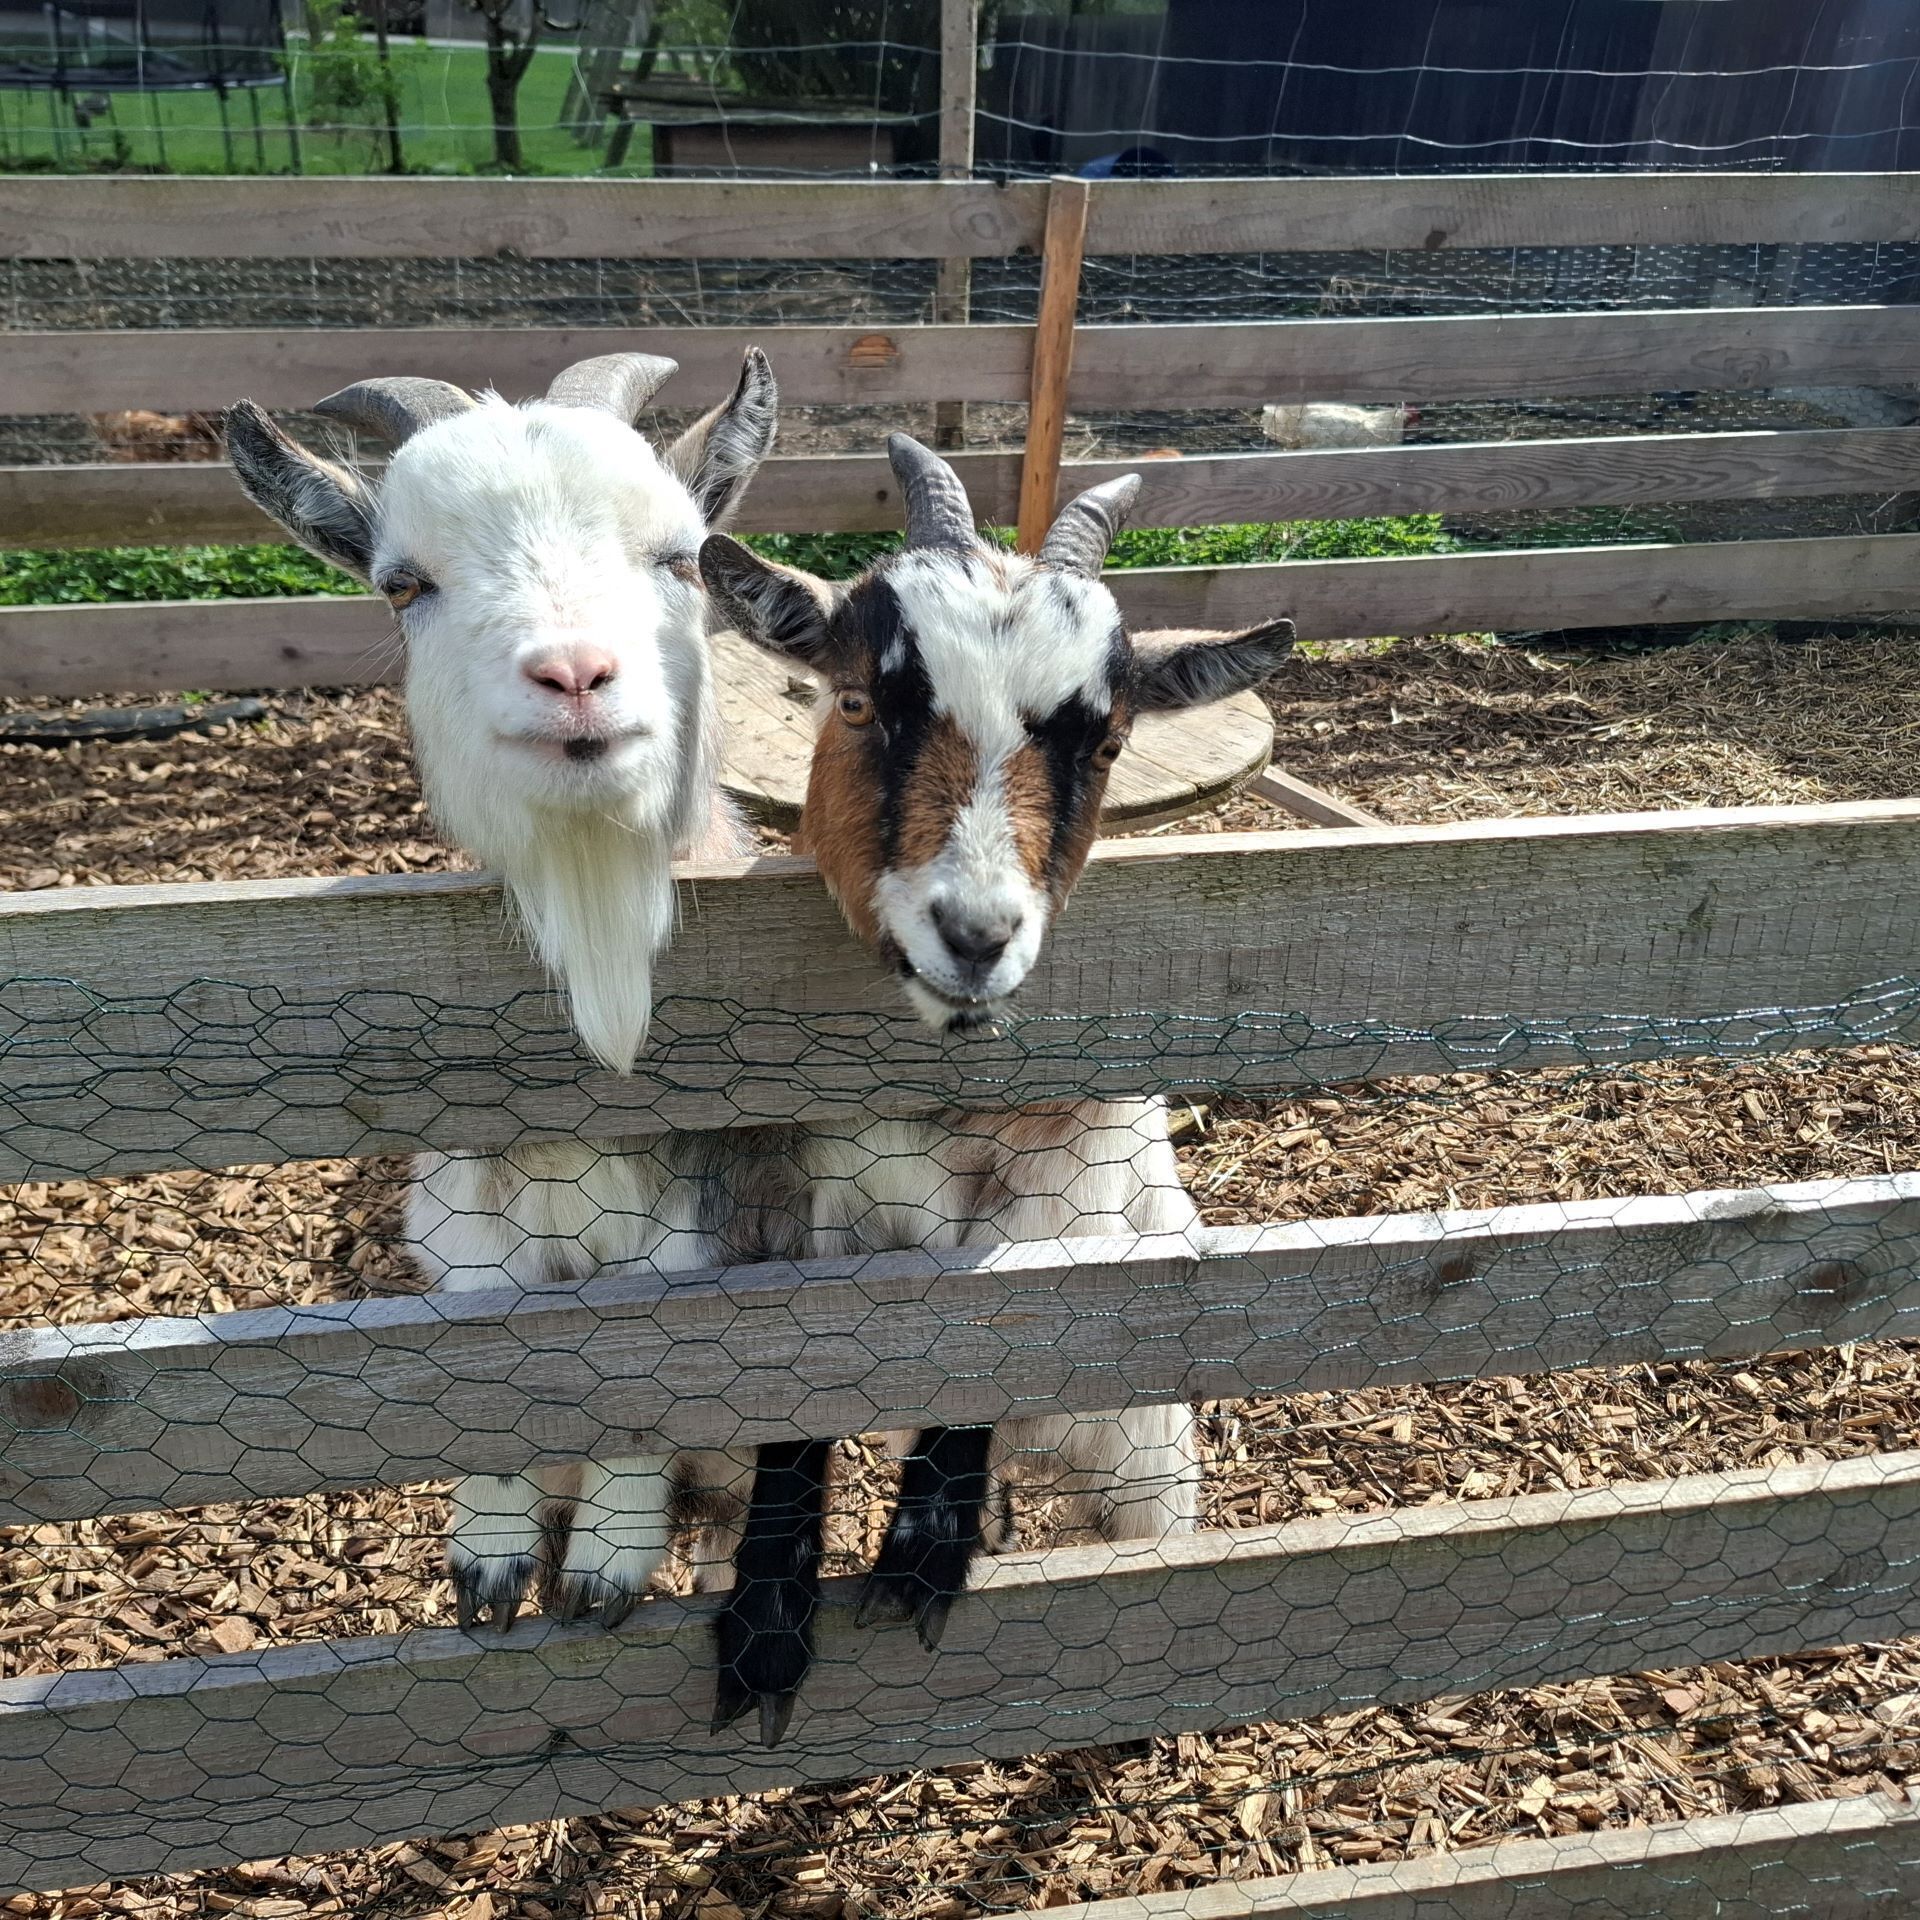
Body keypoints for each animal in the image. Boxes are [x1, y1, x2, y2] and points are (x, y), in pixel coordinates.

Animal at [224, 350, 783, 1631]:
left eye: (681, 556)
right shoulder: (463, 1232)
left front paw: (608, 1567)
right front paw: (488, 1559)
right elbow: (484, 1373)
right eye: (404, 583)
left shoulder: (702, 1232)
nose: (573, 674)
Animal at [698, 435, 1295, 1742]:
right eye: (859, 701)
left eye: (1108, 743)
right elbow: (784, 1410)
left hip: (1146, 1453)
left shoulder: (1051, 1199)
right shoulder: (792, 1206)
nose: (975, 936)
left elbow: (988, 1345)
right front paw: (766, 1631)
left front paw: (921, 1559)